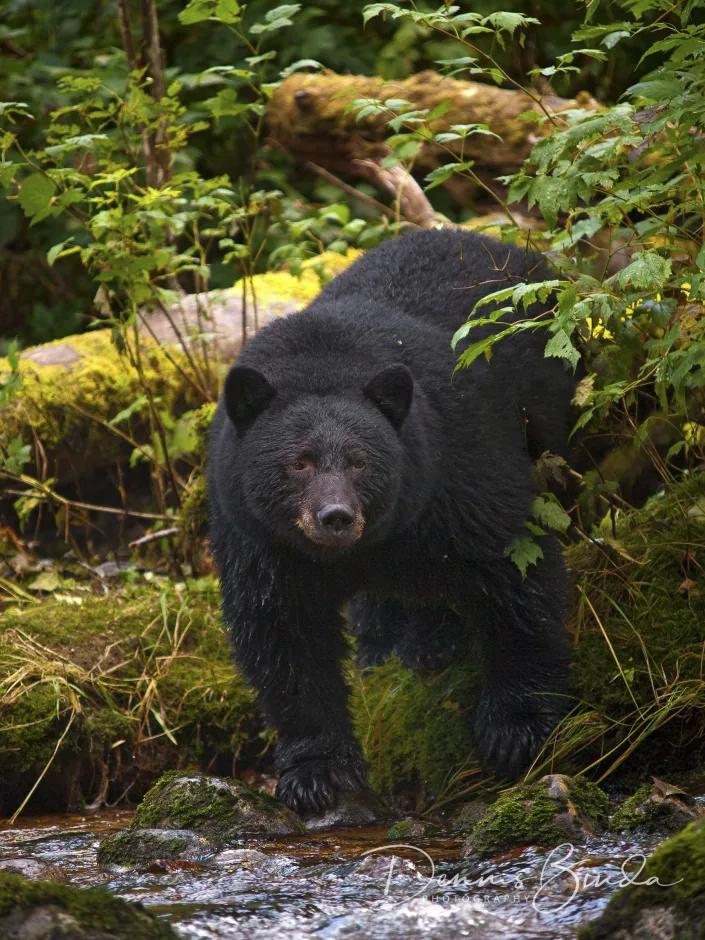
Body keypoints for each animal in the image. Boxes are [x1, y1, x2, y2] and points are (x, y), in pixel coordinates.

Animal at [208, 229, 577, 813]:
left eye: (361, 460)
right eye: (298, 462)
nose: (335, 517)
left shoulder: (452, 470)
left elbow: (515, 570)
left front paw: (514, 728)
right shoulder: (257, 536)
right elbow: (283, 633)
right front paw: (315, 771)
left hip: (550, 395)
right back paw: (391, 647)